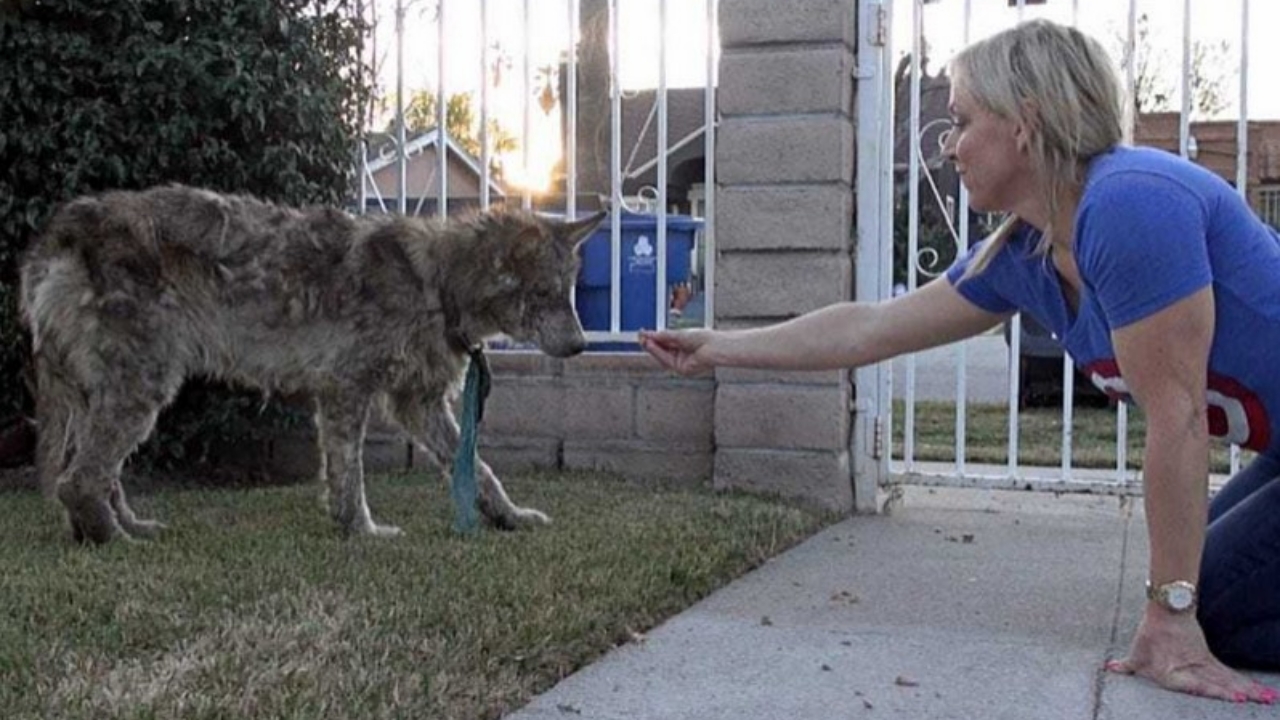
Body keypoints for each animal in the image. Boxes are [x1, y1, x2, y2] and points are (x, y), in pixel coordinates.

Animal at [17, 184, 601, 543]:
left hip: (113, 394)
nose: (580, 346)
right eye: (544, 294)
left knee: (97, 477)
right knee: (77, 480)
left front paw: (510, 518)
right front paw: (361, 533)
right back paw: (116, 540)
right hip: (142, 388)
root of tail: (61, 230)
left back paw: (126, 529)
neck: (436, 282)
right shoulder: (346, 390)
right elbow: (349, 476)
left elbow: (479, 469)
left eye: (568, 292)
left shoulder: (418, 404)